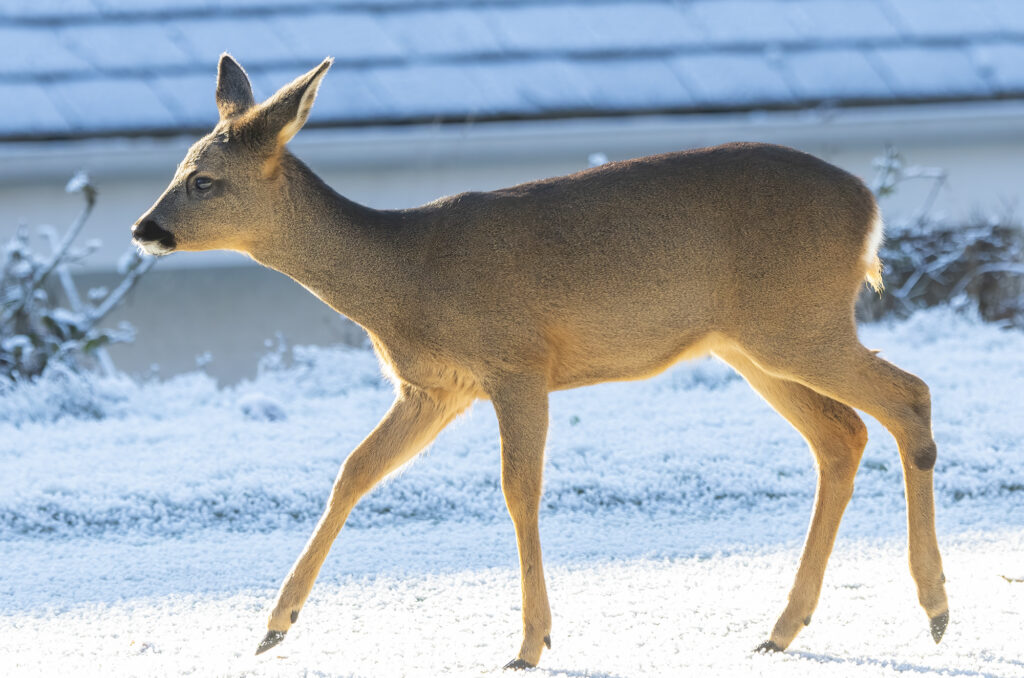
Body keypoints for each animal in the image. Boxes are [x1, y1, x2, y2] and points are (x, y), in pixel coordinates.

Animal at [132, 57, 946, 667]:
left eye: (204, 180)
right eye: (177, 167)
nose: (145, 228)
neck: (404, 277)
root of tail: (870, 208)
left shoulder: (517, 362)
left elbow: (518, 490)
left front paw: (530, 643)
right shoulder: (433, 388)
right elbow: (353, 472)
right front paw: (274, 626)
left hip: (798, 324)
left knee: (908, 397)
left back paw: (935, 606)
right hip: (754, 345)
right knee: (841, 435)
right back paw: (781, 629)